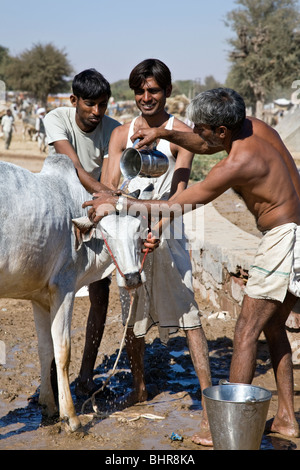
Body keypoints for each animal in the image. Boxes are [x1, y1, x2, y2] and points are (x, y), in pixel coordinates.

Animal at [0, 154, 145, 430]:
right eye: (106, 232)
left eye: (138, 231)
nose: (132, 277)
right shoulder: (64, 289)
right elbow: (63, 351)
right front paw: (71, 417)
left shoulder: (39, 297)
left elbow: (45, 350)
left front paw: (49, 407)